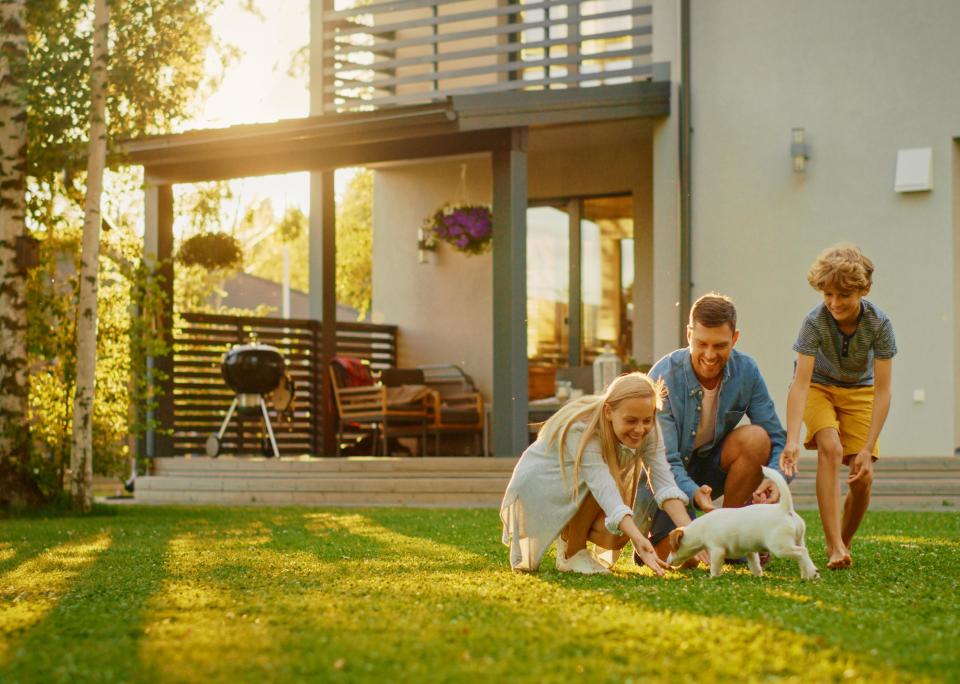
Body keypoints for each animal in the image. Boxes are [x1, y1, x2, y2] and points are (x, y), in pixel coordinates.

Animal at [668, 468, 816, 580]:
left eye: (673, 548)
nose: (667, 562)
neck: (700, 529)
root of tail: (785, 509)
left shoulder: (717, 550)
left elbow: (715, 566)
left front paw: (712, 577)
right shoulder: (750, 551)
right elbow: (755, 565)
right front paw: (758, 576)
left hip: (780, 547)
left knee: (801, 553)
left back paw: (813, 573)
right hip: (798, 540)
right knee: (803, 555)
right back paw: (806, 576)